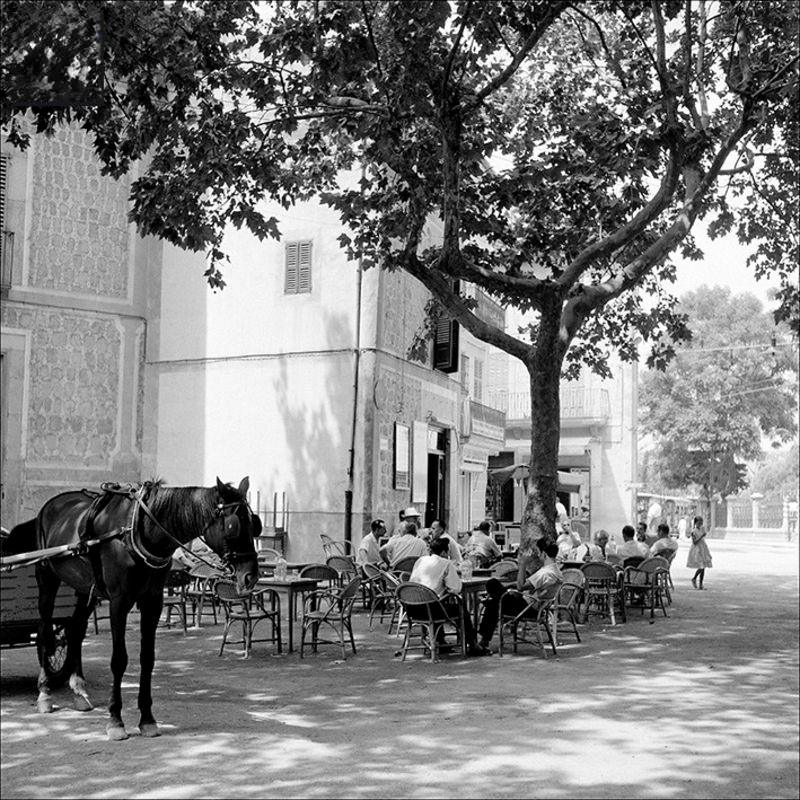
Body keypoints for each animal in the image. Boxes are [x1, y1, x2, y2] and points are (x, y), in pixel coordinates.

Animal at [10, 472, 260, 740]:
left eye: (254, 523)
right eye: (233, 526)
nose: (250, 576)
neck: (140, 529)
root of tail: (51, 504)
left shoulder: (153, 601)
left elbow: (147, 658)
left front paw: (147, 719)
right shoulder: (119, 602)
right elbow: (119, 659)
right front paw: (115, 720)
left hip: (85, 588)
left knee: (75, 630)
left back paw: (78, 690)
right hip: (47, 578)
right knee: (45, 633)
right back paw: (45, 693)